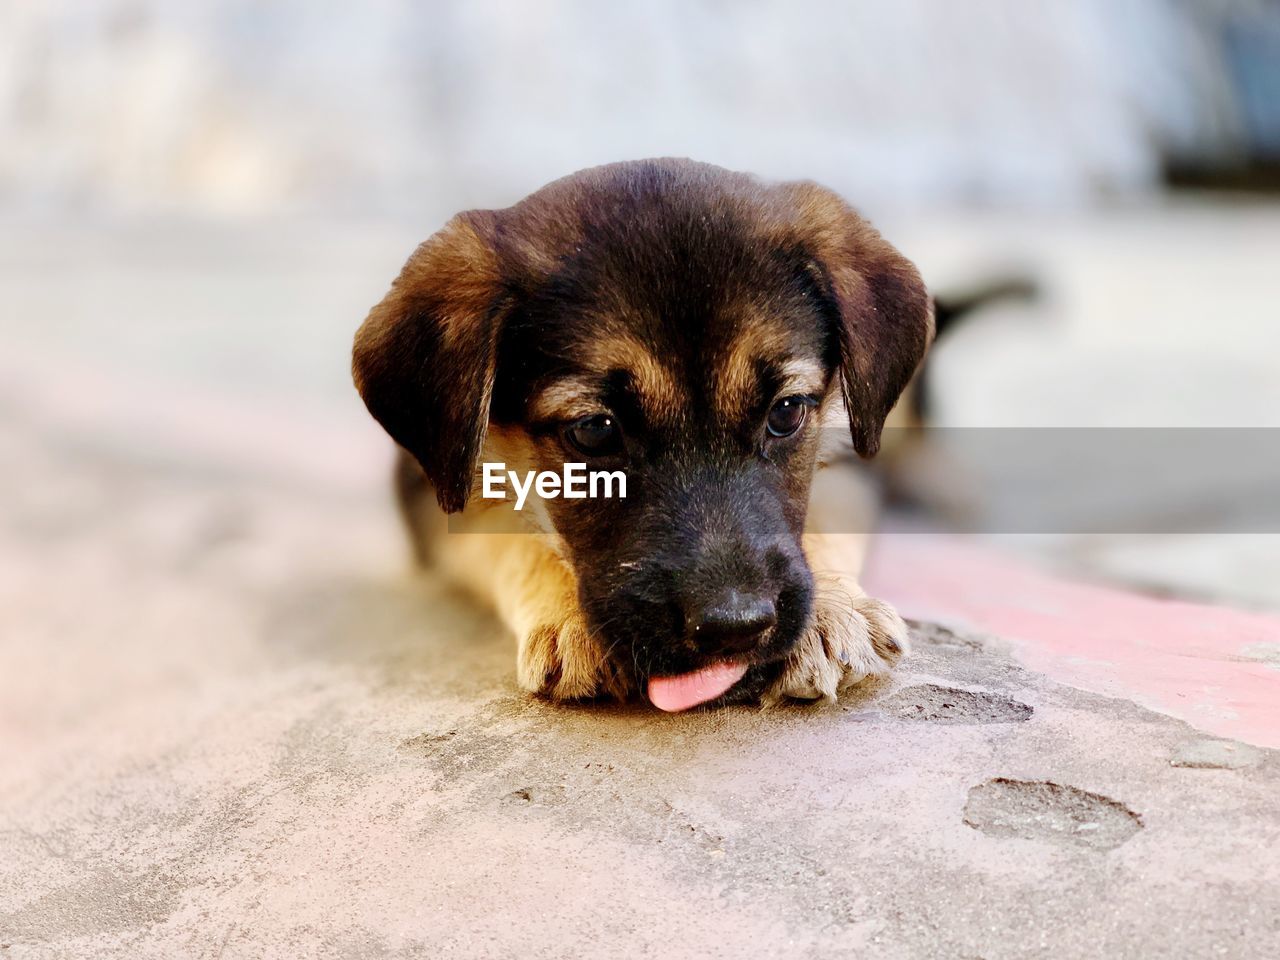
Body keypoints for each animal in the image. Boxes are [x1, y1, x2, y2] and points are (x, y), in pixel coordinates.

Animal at [350, 160, 931, 716]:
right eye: (593, 431)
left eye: (786, 413)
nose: (733, 629)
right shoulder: (434, 489)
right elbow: (509, 529)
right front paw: (570, 620)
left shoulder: (852, 453)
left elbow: (825, 511)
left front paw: (831, 613)